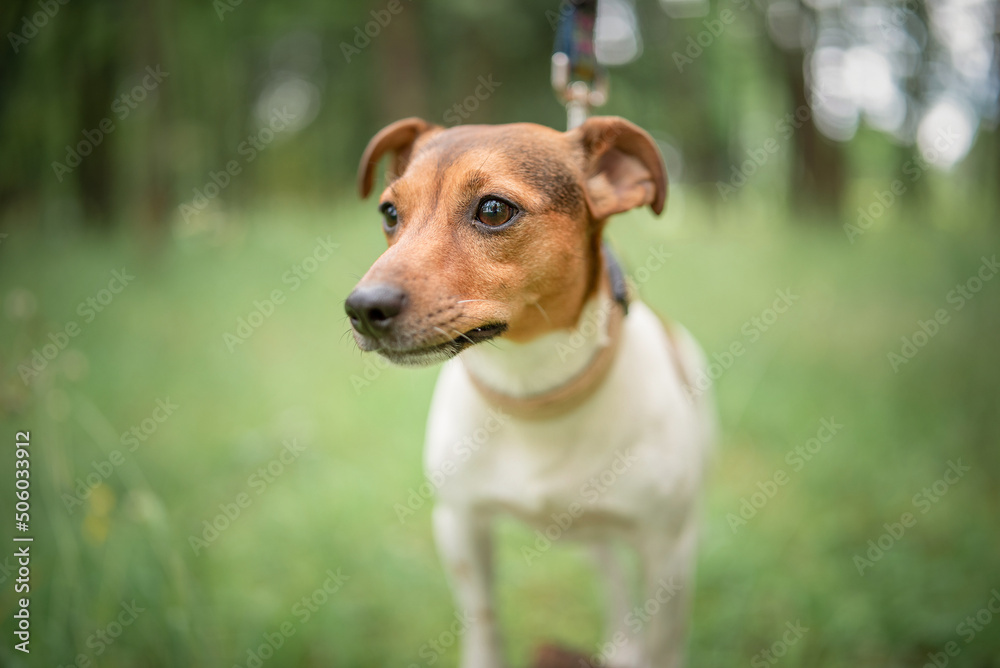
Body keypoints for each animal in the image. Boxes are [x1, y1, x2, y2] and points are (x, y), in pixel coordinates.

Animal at [348, 117, 716, 664]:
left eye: (494, 210)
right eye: (389, 213)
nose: (363, 308)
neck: (533, 394)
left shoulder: (668, 549)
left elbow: (665, 646)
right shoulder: (460, 526)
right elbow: (484, 630)